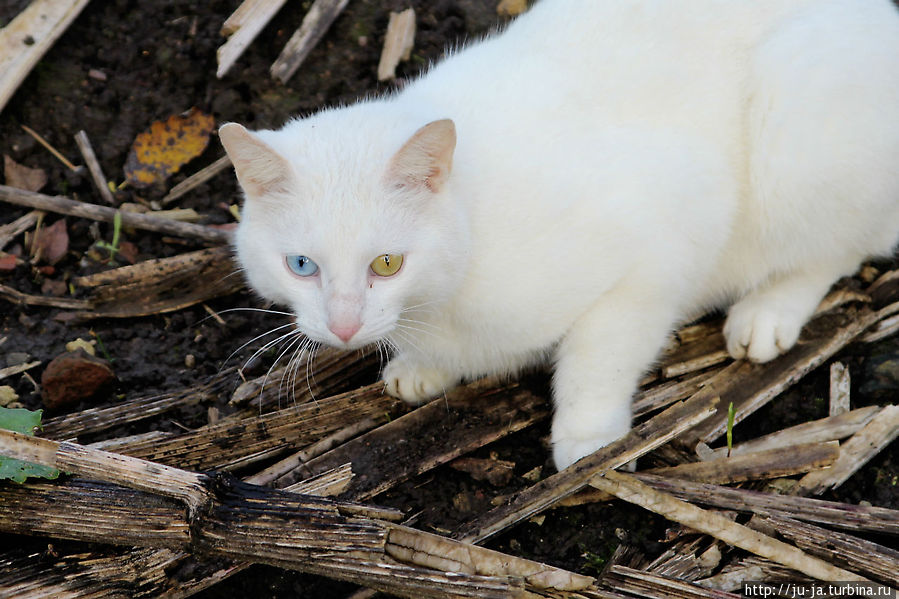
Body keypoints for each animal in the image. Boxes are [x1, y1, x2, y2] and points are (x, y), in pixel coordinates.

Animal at [221, 0, 899, 472]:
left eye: (387, 263)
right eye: (301, 265)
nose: (342, 327)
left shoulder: (659, 246)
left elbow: (598, 358)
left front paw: (588, 438)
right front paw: (422, 366)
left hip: (793, 139)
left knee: (840, 245)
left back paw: (767, 313)